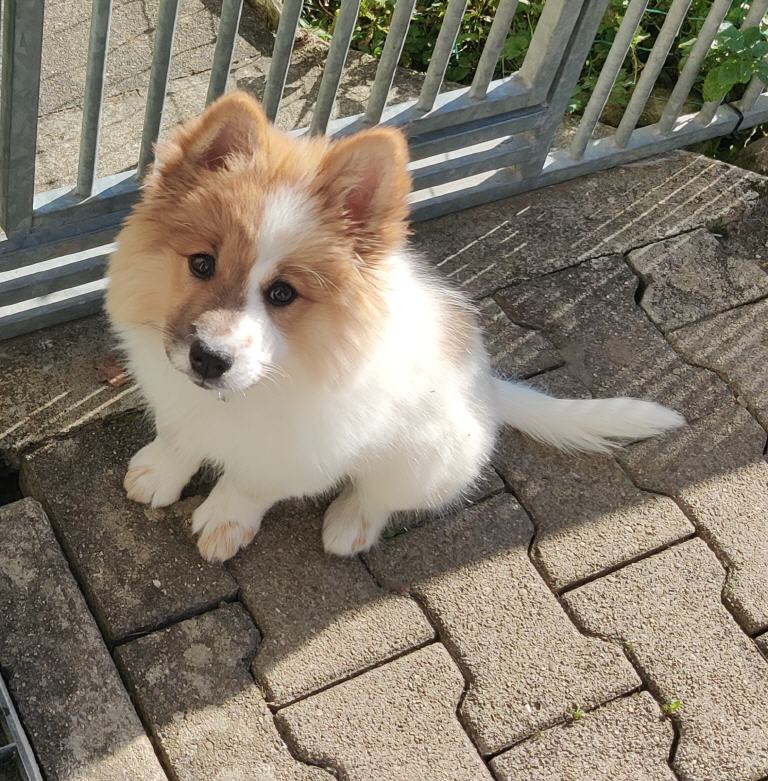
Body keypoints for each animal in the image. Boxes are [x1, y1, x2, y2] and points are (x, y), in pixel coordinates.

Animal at [105, 91, 684, 563]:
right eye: (202, 264)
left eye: (283, 294)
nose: (208, 358)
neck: (259, 384)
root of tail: (487, 387)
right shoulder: (178, 399)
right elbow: (179, 435)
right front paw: (161, 472)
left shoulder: (300, 453)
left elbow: (250, 484)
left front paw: (226, 521)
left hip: (425, 458)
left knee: (384, 495)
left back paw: (351, 524)